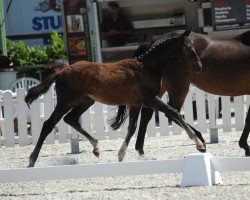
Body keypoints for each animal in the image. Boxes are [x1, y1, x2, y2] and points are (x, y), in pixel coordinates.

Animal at [24, 29, 204, 167]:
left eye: (194, 46)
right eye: (188, 48)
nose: (199, 66)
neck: (146, 68)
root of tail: (60, 73)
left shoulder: (136, 104)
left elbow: (132, 128)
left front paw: (121, 155)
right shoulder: (150, 100)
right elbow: (174, 112)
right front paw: (199, 144)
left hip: (85, 101)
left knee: (71, 119)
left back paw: (96, 148)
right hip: (66, 102)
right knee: (49, 124)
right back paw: (32, 160)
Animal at [117, 29, 250, 161]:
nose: (199, 66)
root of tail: (153, 41)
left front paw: (244, 146)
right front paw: (245, 146)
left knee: (148, 114)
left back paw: (140, 150)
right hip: (179, 88)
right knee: (171, 112)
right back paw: (200, 140)